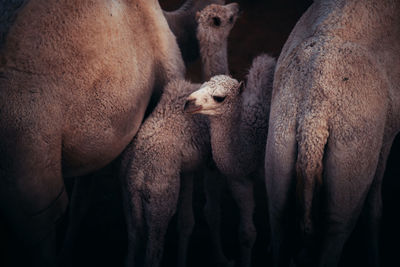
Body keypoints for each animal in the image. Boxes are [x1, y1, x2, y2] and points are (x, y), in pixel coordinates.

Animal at [266, 1, 400, 266]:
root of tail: (314, 117)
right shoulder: (387, 134)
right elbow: (374, 208)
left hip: (278, 151)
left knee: (278, 223)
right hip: (350, 172)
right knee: (336, 231)